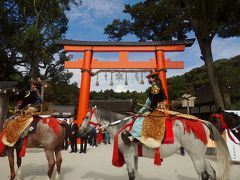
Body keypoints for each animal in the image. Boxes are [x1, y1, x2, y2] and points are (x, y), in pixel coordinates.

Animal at [78, 107, 231, 180]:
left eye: (86, 117)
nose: (79, 133)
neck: (122, 127)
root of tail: (202, 121)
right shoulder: (134, 156)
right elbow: (136, 174)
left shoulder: (128, 155)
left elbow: (131, 175)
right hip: (200, 154)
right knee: (211, 172)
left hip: (195, 154)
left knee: (203, 174)